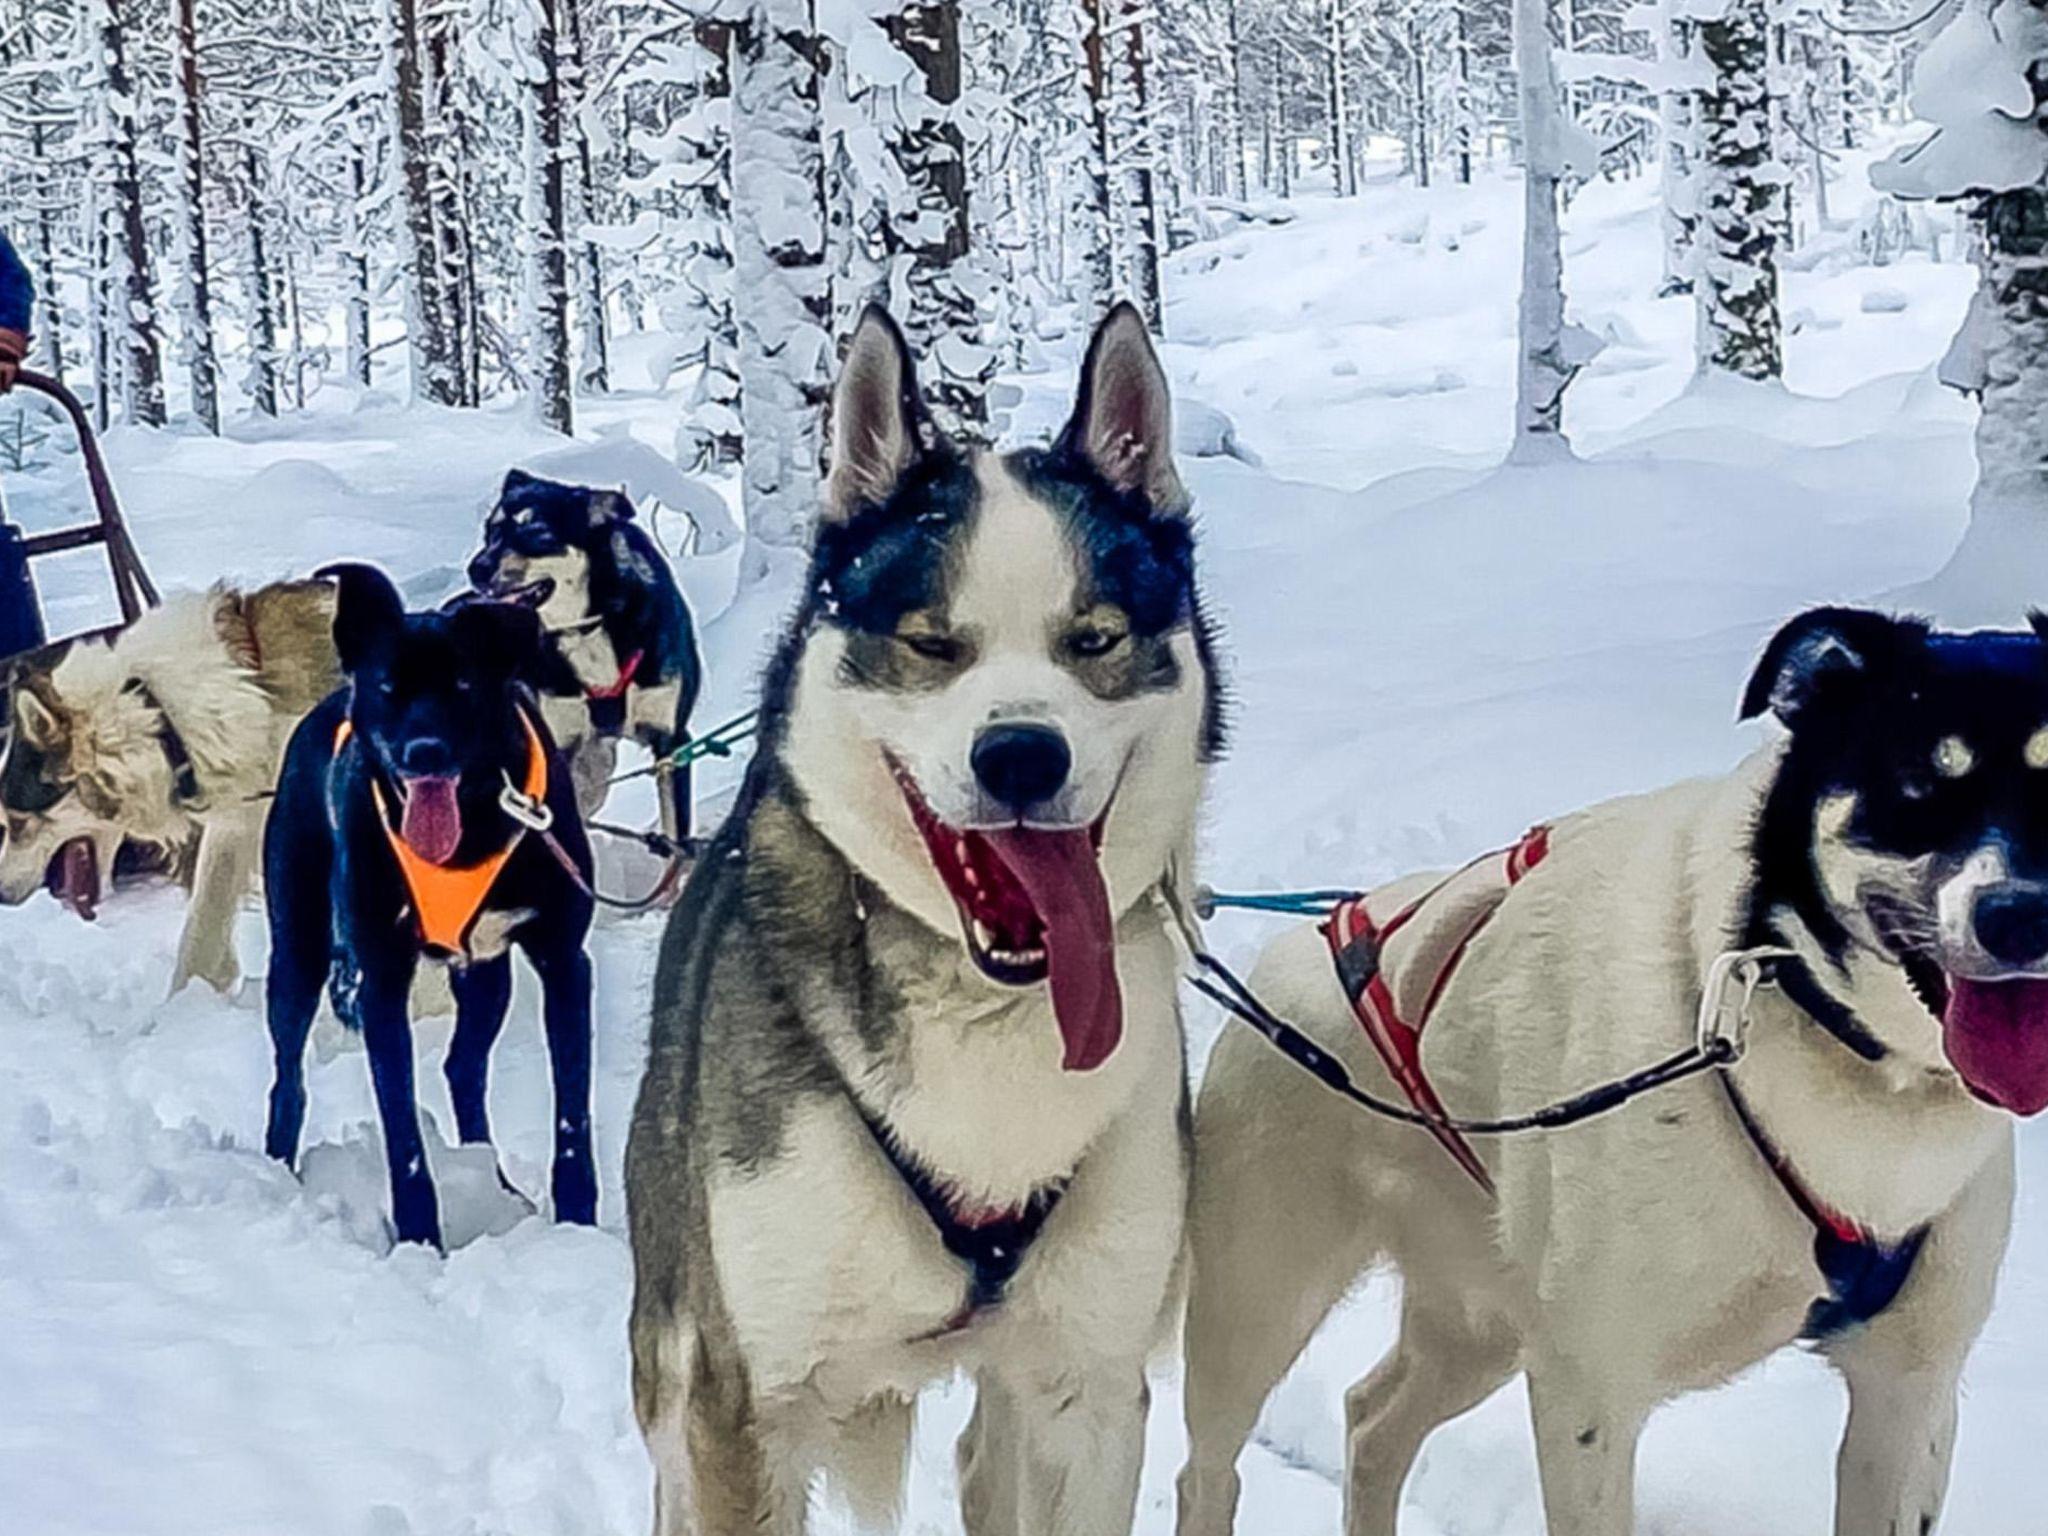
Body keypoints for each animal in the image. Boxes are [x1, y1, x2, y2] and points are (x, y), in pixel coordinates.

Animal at [260, 565, 598, 1253]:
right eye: (389, 686)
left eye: (463, 683)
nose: (425, 751)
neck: (472, 829)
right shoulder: (383, 981)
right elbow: (402, 1137)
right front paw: (418, 1238)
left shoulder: (563, 961)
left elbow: (572, 1115)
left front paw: (579, 1224)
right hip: (298, 955)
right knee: (289, 1081)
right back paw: (276, 1167)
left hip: (486, 977)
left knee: (462, 1068)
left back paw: (496, 1184)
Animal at [468, 473, 708, 847]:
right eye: (490, 532)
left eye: (538, 530)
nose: (476, 569)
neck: (588, 627)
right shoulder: (560, 749)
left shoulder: (671, 742)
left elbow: (676, 839)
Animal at [622, 303, 1220, 1536]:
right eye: (932, 643)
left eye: (1093, 640)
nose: (1021, 754)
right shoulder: (740, 1408)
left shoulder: (1088, 1392)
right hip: (671, 1368)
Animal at [1171, 606, 2048, 1536]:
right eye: (1921, 782)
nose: (2020, 916)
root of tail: (1304, 945)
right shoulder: (1590, 1393)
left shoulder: (1910, 1392)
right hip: (1261, 1303)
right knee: (1210, 1469)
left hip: (1482, 1321)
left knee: (1374, 1418)